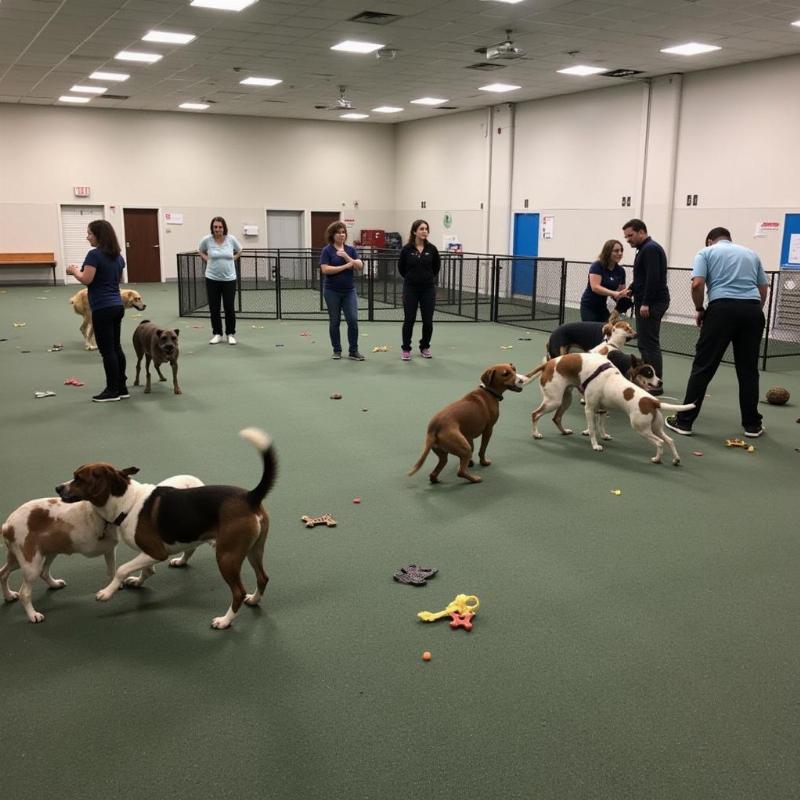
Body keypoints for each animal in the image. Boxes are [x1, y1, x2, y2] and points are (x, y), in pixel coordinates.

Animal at [55, 428, 276, 628]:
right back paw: (253, 599)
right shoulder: (148, 553)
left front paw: (107, 592)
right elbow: (145, 569)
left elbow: (122, 569)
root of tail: (250, 497)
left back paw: (224, 621)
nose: (57, 488)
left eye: (78, 478)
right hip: (254, 550)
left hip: (227, 556)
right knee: (263, 577)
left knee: (238, 592)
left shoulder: (156, 552)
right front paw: (138, 581)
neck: (126, 502)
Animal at [524, 354, 692, 466]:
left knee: (663, 441)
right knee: (537, 414)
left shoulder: (596, 409)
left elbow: (597, 426)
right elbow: (594, 428)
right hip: (556, 401)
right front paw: (596, 443)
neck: (609, 378)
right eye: (649, 373)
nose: (660, 382)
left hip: (645, 429)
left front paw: (599, 440)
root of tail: (652, 401)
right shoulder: (593, 409)